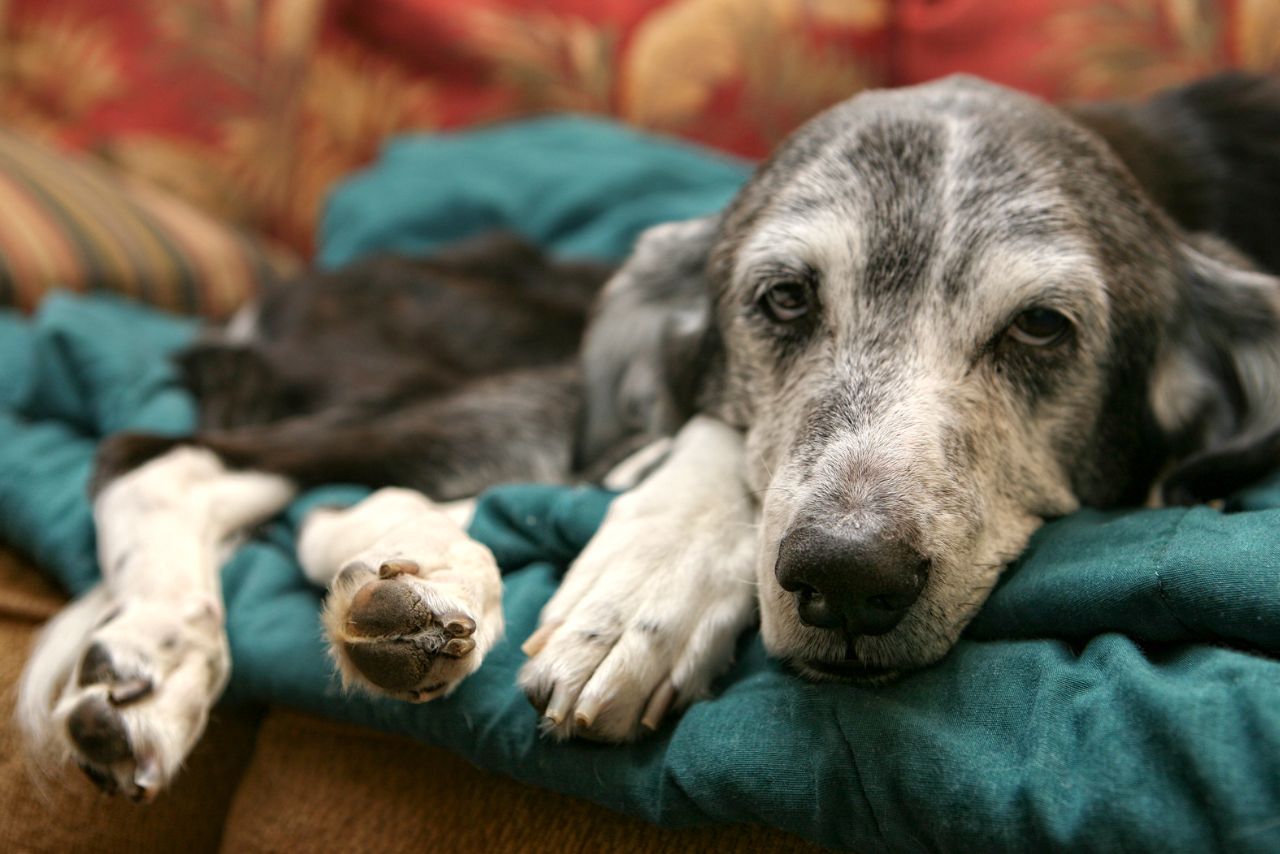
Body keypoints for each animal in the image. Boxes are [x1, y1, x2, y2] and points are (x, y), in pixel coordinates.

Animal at [12, 73, 1280, 804]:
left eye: (1039, 327)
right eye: (780, 300)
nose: (846, 577)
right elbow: (715, 441)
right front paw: (642, 592)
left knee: (304, 499)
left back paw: (393, 593)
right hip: (527, 385)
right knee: (161, 456)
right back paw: (183, 647)